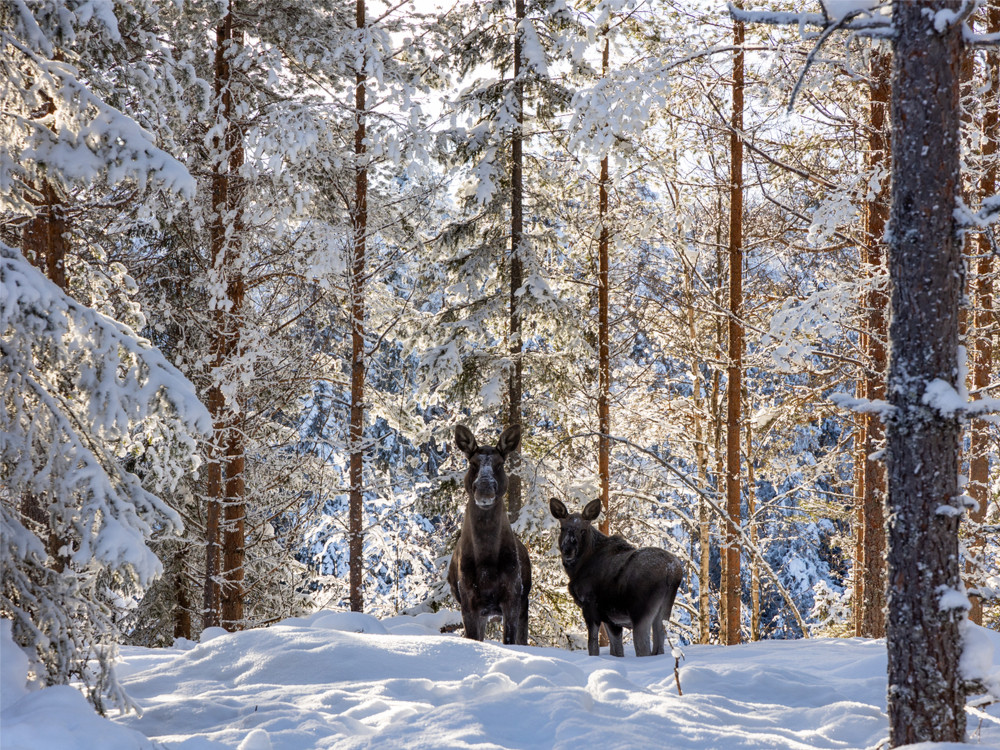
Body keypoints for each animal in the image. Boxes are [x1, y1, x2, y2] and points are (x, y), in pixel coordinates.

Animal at [452, 426, 532, 644]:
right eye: (472, 463)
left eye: (500, 463)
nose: (485, 490)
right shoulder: (469, 602)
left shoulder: (512, 598)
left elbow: (510, 641)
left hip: (524, 604)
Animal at [552, 500, 684, 656]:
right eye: (562, 528)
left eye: (583, 530)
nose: (568, 550)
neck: (577, 569)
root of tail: (672, 571)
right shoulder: (611, 619)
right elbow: (616, 650)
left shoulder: (589, 606)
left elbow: (593, 645)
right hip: (663, 613)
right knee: (658, 647)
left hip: (641, 614)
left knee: (644, 650)